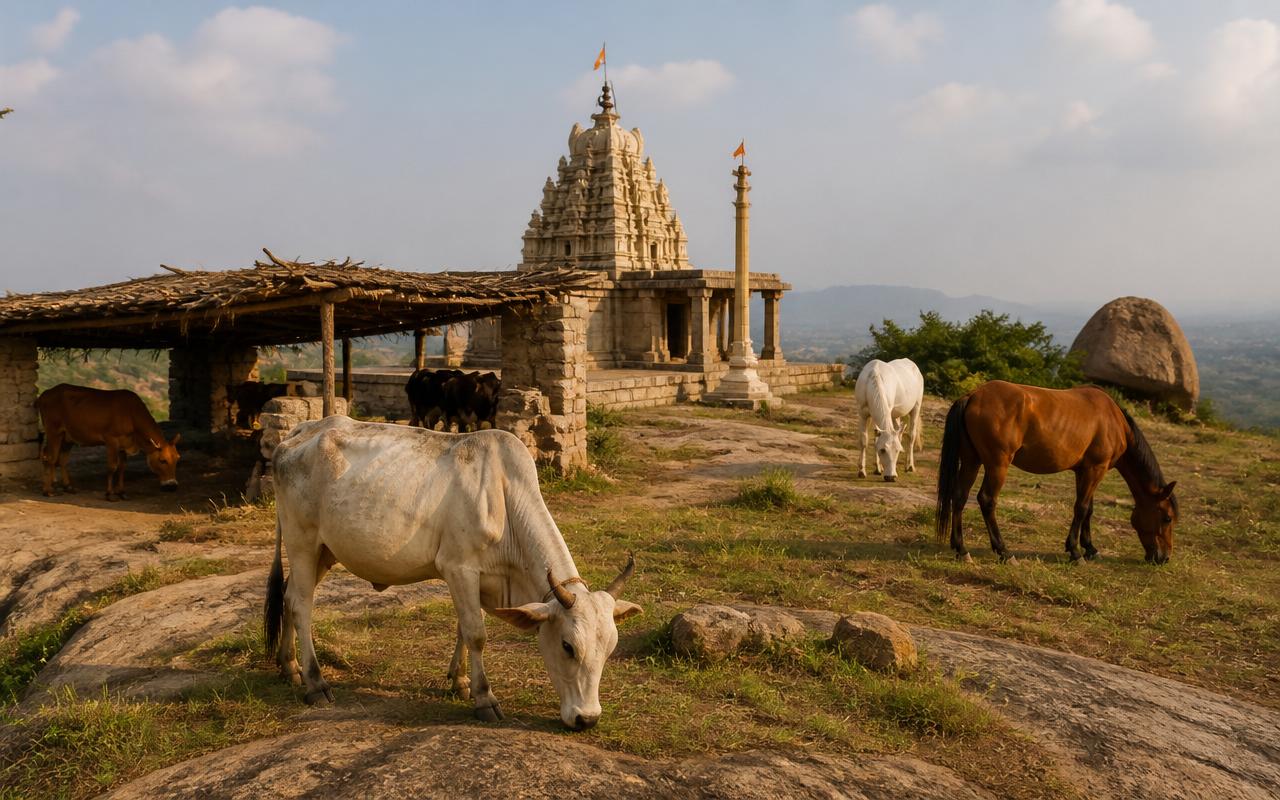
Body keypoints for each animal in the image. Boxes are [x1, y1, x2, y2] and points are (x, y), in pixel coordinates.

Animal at [35, 383, 182, 500]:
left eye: (177, 459)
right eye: (162, 460)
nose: (172, 485)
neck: (131, 414)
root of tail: (44, 394)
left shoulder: (124, 444)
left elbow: (122, 468)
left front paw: (121, 492)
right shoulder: (111, 440)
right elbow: (112, 467)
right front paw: (109, 494)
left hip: (68, 436)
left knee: (62, 460)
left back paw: (67, 487)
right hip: (54, 431)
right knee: (49, 457)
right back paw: (48, 490)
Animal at [265, 415, 641, 728]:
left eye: (610, 648)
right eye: (567, 646)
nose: (587, 719)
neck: (505, 497)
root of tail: (300, 432)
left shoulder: (476, 580)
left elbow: (464, 626)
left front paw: (460, 683)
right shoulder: (459, 568)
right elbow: (476, 633)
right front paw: (484, 698)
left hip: (323, 552)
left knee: (288, 595)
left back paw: (289, 667)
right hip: (302, 543)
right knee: (301, 605)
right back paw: (315, 682)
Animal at [936, 380, 1178, 564]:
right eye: (1167, 518)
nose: (1164, 558)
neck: (1114, 420)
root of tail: (973, 395)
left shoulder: (1084, 471)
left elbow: (1088, 509)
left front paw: (1090, 548)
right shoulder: (1095, 469)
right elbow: (1081, 508)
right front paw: (1076, 552)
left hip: (971, 461)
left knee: (959, 497)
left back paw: (962, 549)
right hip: (997, 465)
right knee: (986, 500)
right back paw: (1004, 551)